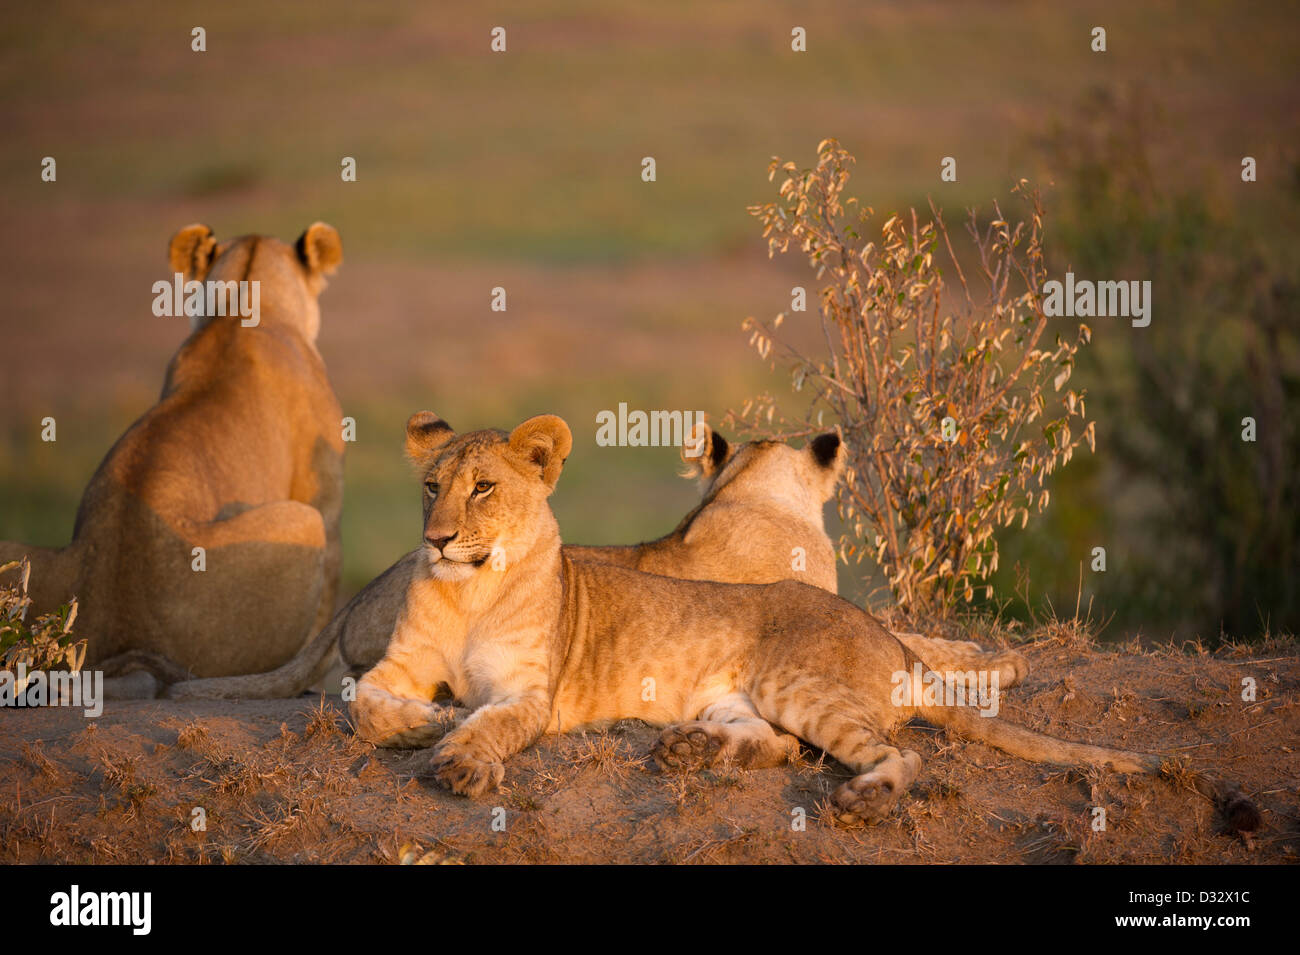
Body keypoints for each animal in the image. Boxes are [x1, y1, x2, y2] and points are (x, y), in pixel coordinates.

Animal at [350, 412, 1259, 833]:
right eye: (431, 486)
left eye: (483, 488)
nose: (436, 537)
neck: (468, 589)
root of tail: (878, 644)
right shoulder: (395, 666)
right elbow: (364, 704)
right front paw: (424, 720)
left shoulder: (529, 692)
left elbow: (493, 725)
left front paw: (460, 754)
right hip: (743, 694)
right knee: (780, 744)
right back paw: (689, 751)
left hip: (799, 681)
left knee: (899, 751)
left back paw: (858, 798)